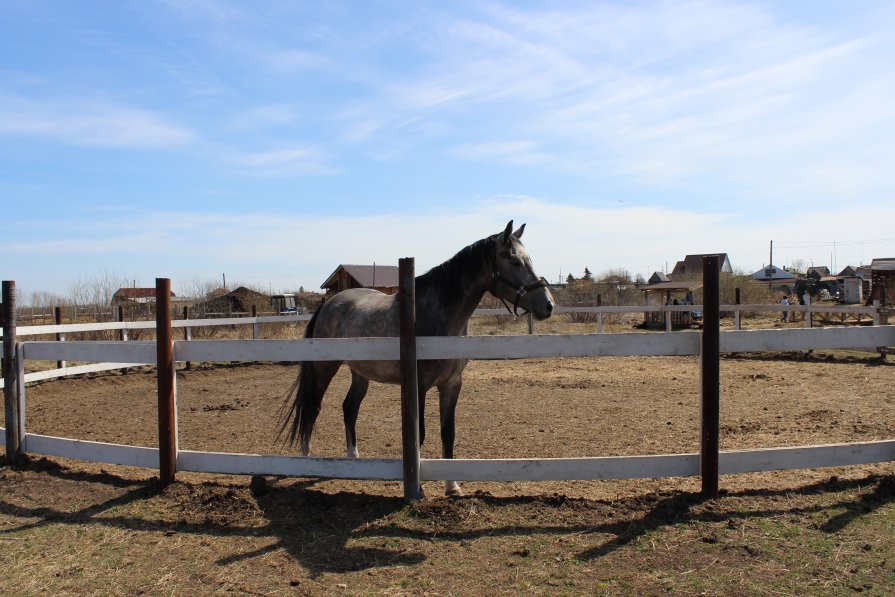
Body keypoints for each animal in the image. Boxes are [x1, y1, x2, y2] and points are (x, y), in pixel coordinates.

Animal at [284, 221, 556, 492]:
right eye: (515, 262)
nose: (548, 305)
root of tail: (328, 303)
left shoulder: (451, 385)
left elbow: (448, 433)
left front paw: (452, 485)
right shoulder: (419, 386)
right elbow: (420, 434)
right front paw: (420, 488)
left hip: (360, 372)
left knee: (349, 408)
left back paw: (354, 459)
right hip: (324, 367)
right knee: (313, 406)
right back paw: (306, 459)